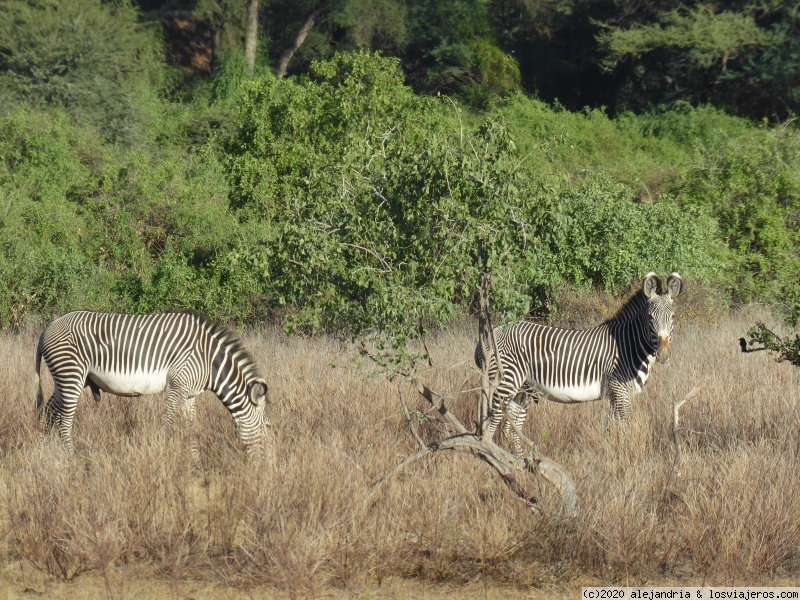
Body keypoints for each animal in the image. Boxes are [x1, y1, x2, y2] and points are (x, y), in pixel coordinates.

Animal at [36, 312, 272, 458]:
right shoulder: (177, 387)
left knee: (49, 411)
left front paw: (195, 461)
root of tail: (48, 328)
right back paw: (71, 457)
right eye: (267, 427)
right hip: (71, 375)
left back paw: (46, 447)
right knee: (65, 420)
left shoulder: (189, 394)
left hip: (67, 379)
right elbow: (169, 423)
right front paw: (166, 454)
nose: (262, 468)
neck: (209, 360)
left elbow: (192, 427)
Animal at [478, 272, 684, 454]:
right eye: (650, 318)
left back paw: (522, 464)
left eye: (673, 317)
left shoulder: (616, 394)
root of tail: (493, 332)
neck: (628, 344)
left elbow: (612, 428)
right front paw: (623, 457)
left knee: (510, 429)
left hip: (523, 390)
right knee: (489, 428)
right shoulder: (619, 390)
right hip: (506, 382)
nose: (663, 354)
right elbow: (622, 429)